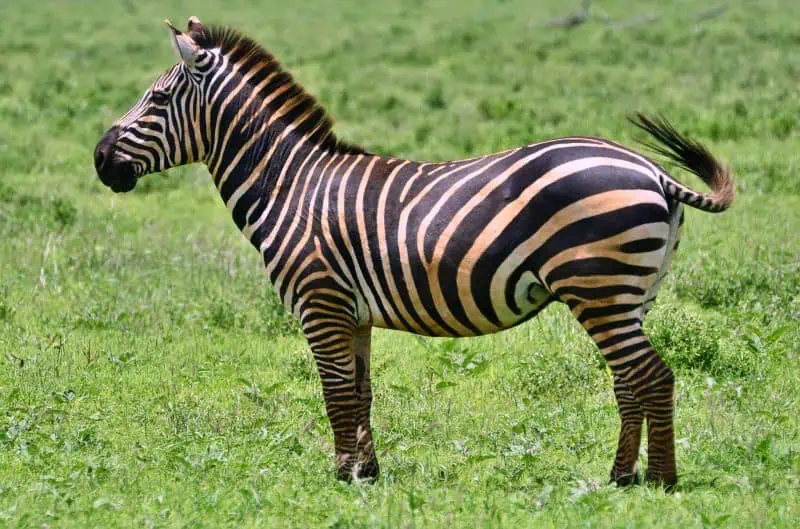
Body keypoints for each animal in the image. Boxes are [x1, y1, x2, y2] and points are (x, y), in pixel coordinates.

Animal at [92, 17, 732, 486]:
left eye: (156, 99)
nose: (99, 160)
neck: (289, 185)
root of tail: (651, 169)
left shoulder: (319, 302)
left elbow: (334, 394)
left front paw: (342, 477)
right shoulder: (352, 313)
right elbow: (360, 393)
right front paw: (367, 473)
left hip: (598, 285)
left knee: (652, 377)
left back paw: (661, 482)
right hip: (629, 295)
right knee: (629, 380)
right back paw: (622, 477)